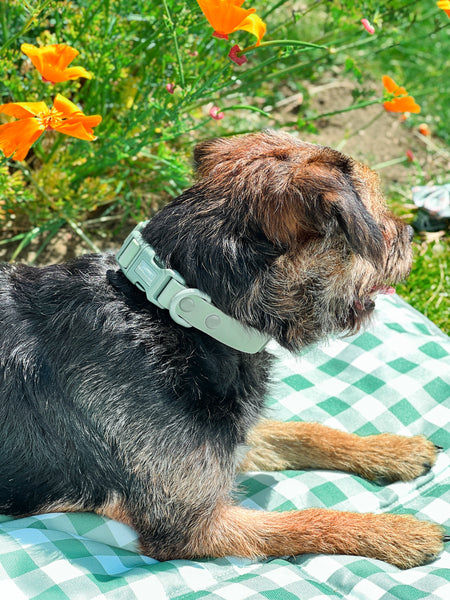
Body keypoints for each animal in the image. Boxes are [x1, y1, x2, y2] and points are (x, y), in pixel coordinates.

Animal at [0, 130, 444, 568]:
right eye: (378, 222)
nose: (409, 234)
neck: (174, 311)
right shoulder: (191, 525)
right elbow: (309, 519)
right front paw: (398, 532)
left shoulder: (231, 437)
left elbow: (307, 432)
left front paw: (392, 449)